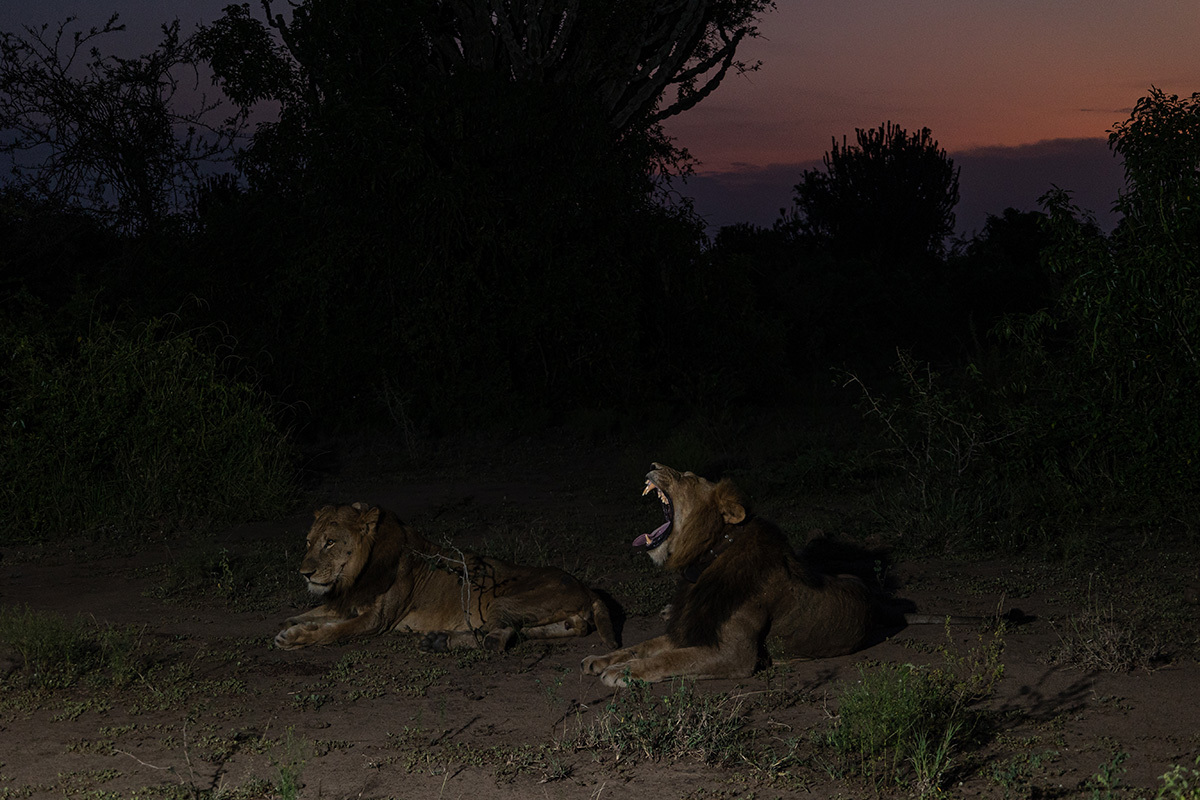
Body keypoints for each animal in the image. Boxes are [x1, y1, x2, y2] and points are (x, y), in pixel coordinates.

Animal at [273, 503, 619, 652]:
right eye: (308, 542)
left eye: (330, 542)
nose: (304, 573)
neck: (357, 574)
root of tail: (586, 588)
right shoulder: (347, 603)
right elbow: (312, 615)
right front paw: (294, 624)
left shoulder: (376, 620)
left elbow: (335, 631)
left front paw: (295, 637)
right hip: (551, 618)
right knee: (529, 631)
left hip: (504, 601)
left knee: (497, 637)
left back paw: (441, 641)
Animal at [578, 462, 873, 690]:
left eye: (687, 477)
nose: (653, 465)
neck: (707, 560)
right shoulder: (692, 628)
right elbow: (643, 645)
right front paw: (602, 659)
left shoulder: (735, 655)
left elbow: (670, 659)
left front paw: (624, 670)